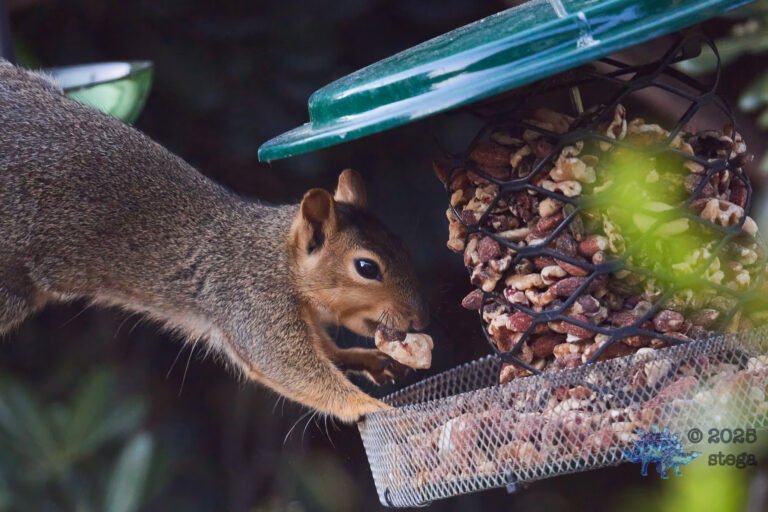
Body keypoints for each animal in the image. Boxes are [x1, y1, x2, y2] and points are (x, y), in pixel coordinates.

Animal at [0, 60, 429, 423]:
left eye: (404, 245)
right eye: (366, 267)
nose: (419, 320)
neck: (276, 259)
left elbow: (325, 350)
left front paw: (364, 359)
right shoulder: (253, 305)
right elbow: (287, 366)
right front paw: (372, 408)